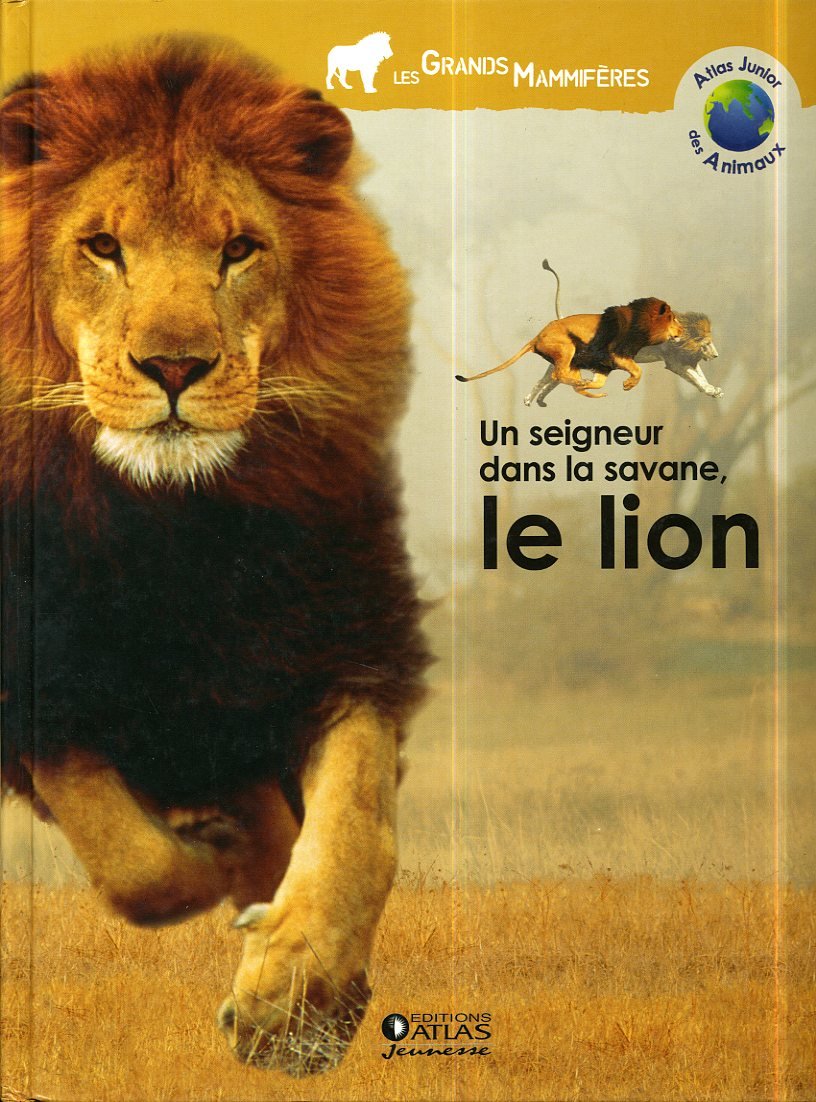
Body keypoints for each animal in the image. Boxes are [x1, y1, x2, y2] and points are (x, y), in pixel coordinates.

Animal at [0, 37, 429, 1077]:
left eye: (239, 249)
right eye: (101, 246)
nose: (174, 368)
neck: (171, 530)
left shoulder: (345, 642)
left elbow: (356, 831)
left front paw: (296, 999)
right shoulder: (35, 687)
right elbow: (138, 866)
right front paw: (209, 853)